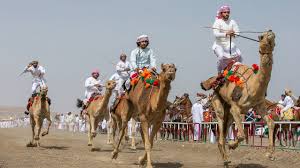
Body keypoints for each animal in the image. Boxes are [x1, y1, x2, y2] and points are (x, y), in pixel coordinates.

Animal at [209, 29, 276, 165]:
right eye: (261, 36)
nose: (270, 31)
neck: (253, 85)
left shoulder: (258, 105)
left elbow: (271, 123)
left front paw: (270, 154)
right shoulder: (235, 107)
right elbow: (241, 135)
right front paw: (232, 145)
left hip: (228, 111)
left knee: (224, 130)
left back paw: (226, 159)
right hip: (217, 101)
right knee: (221, 128)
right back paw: (226, 159)